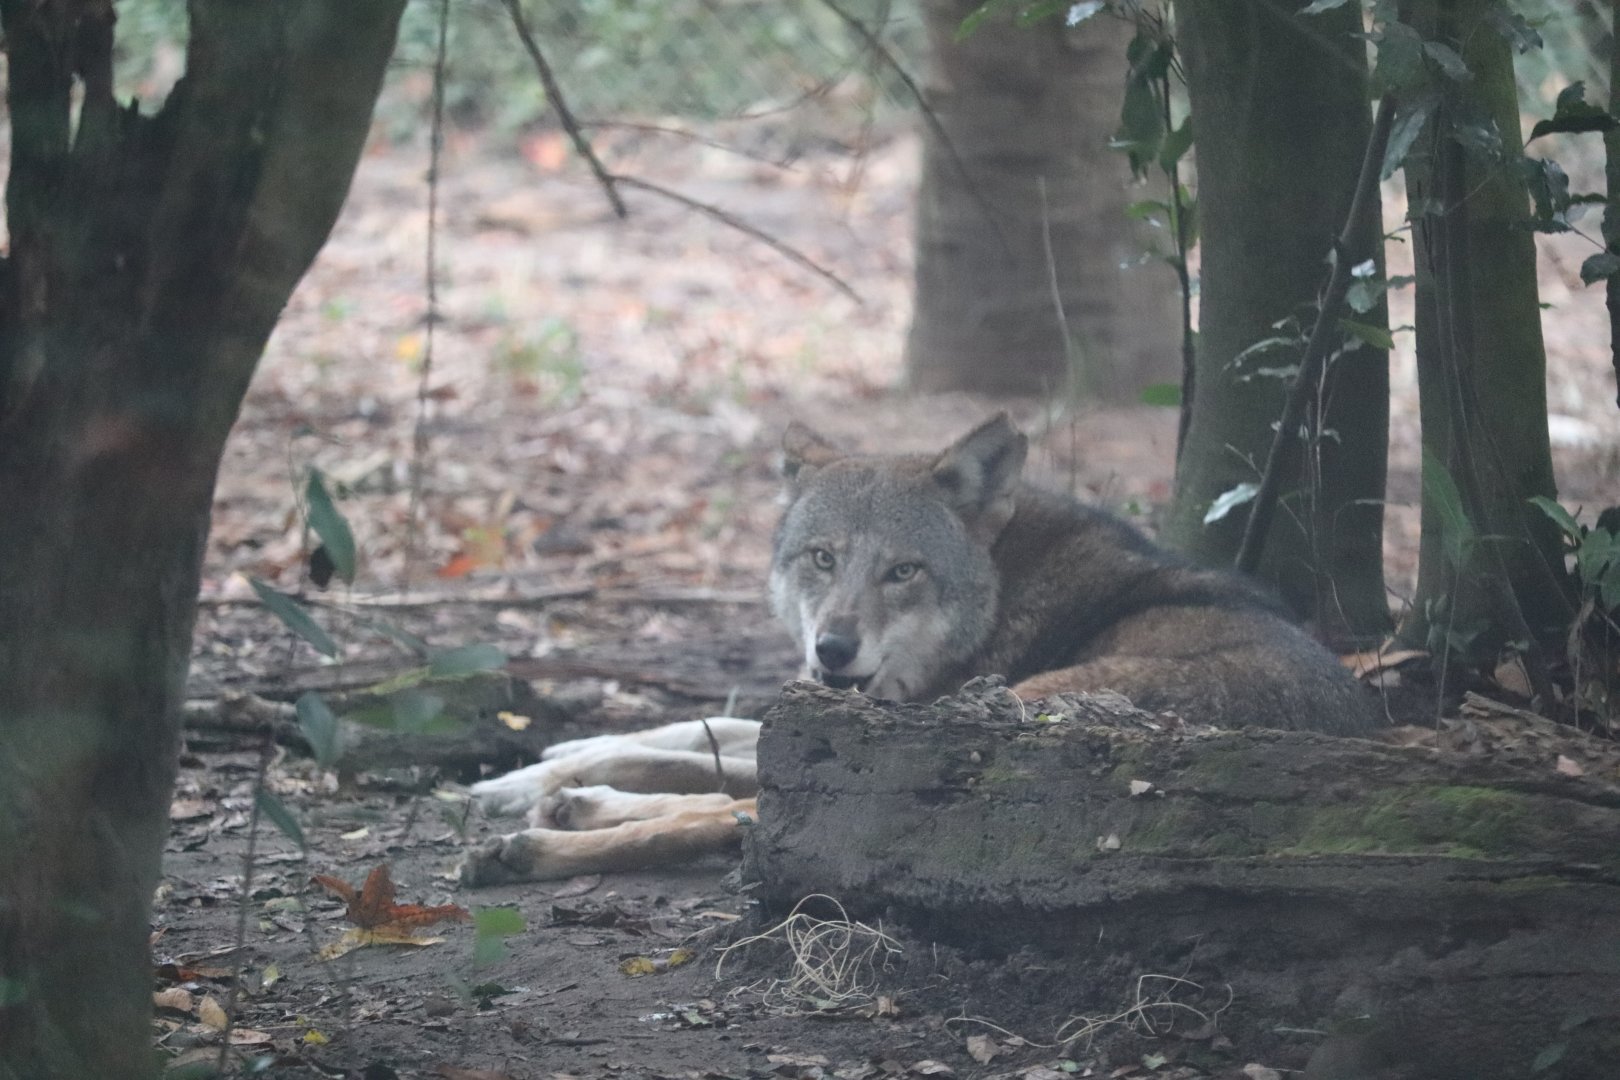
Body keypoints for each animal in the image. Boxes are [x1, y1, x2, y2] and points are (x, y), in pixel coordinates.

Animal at [461, 415, 1378, 885]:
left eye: (902, 571)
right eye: (822, 558)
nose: (832, 647)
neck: (1004, 588)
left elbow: (717, 767)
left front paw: (532, 785)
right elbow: (694, 734)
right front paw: (556, 760)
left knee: (743, 816)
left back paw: (545, 839)